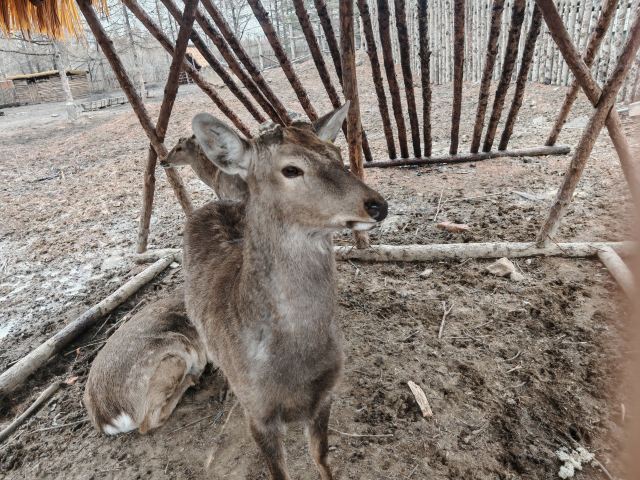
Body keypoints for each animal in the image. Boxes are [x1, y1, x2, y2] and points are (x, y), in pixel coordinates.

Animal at [183, 102, 388, 480]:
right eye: (291, 169)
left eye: (337, 153)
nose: (377, 205)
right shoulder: (258, 412)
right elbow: (279, 472)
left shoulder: (326, 392)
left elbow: (322, 458)